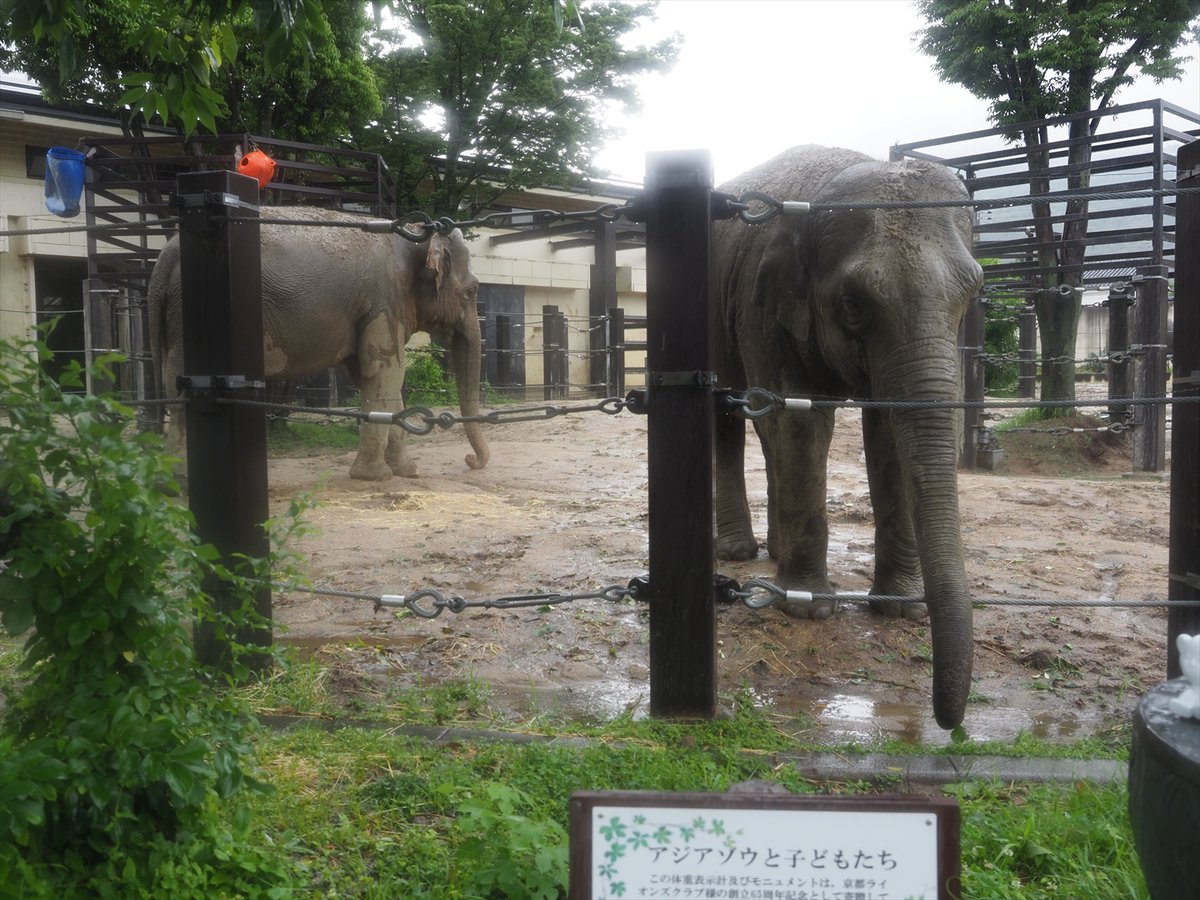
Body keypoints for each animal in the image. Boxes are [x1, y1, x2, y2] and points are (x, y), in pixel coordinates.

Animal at [147, 206, 490, 480]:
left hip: (175, 318)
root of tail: (167, 254)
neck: (417, 237)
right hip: (194, 313)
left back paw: (171, 480)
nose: (470, 461)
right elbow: (385, 372)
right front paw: (373, 477)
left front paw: (407, 472)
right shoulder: (384, 299)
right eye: (472, 290)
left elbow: (377, 380)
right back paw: (183, 480)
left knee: (171, 382)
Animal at [712, 145, 983, 729]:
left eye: (973, 292)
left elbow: (886, 433)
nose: (948, 726)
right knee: (730, 414)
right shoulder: (761, 303)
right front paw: (809, 608)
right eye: (853, 303)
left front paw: (900, 609)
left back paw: (775, 554)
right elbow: (800, 418)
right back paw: (740, 553)